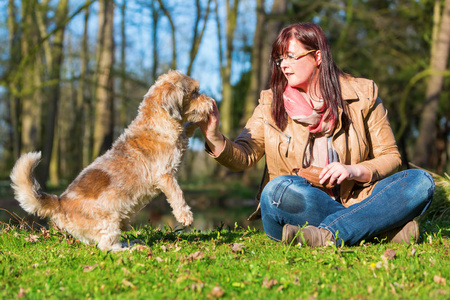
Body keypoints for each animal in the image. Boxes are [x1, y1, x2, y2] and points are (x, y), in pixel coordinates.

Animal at [10, 69, 213, 251]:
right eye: (195, 92)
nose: (211, 101)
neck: (158, 122)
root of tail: (60, 202)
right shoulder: (165, 176)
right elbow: (177, 194)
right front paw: (185, 215)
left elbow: (186, 129)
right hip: (109, 220)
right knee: (107, 247)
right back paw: (133, 249)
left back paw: (132, 243)